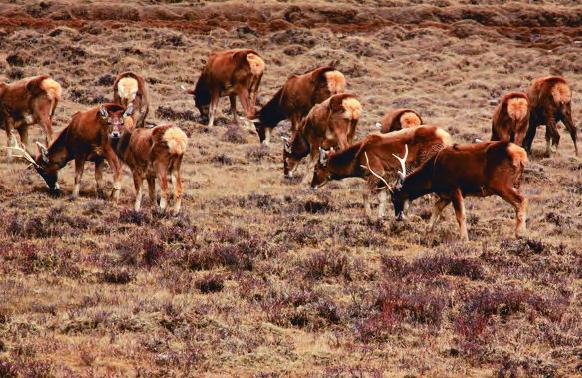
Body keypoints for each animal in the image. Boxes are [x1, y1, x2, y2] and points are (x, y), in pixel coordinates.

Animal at [312, 125, 454, 219]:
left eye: (316, 169)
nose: (312, 185)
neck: (357, 157)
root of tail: (446, 138)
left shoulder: (376, 174)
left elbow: (365, 193)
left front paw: (368, 215)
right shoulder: (383, 181)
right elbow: (382, 199)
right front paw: (380, 217)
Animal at [392, 140, 528, 241]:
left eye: (394, 198)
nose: (397, 217)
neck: (433, 174)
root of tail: (521, 154)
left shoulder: (454, 188)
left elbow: (460, 215)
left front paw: (464, 238)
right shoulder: (445, 195)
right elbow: (436, 207)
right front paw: (428, 229)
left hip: (500, 184)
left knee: (522, 200)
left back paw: (520, 234)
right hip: (514, 183)